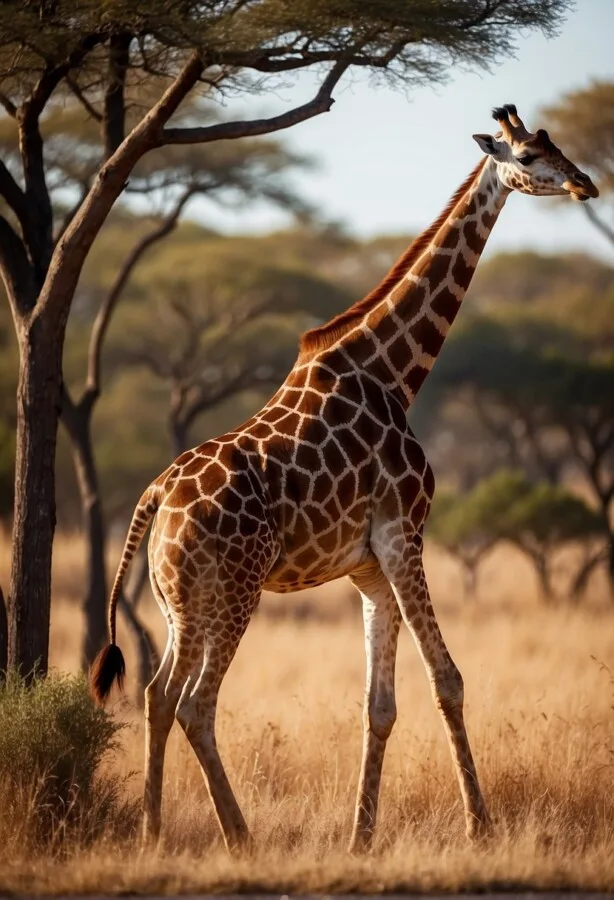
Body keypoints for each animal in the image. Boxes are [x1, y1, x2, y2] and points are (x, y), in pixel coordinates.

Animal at [91, 104, 598, 853]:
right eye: (532, 156)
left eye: (555, 144)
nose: (585, 183)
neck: (393, 373)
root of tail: (154, 497)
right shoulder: (403, 534)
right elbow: (447, 679)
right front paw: (480, 827)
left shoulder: (367, 567)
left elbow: (378, 704)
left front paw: (361, 837)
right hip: (235, 592)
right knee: (196, 703)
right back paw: (239, 837)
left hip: (180, 599)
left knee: (157, 695)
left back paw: (154, 832)